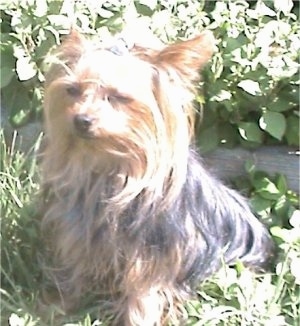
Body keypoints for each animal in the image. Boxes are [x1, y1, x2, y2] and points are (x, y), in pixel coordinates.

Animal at [41, 29, 274, 324]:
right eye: (72, 90)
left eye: (118, 96)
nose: (81, 120)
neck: (111, 165)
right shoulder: (80, 233)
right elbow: (76, 268)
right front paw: (59, 305)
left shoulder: (154, 255)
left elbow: (144, 293)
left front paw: (137, 318)